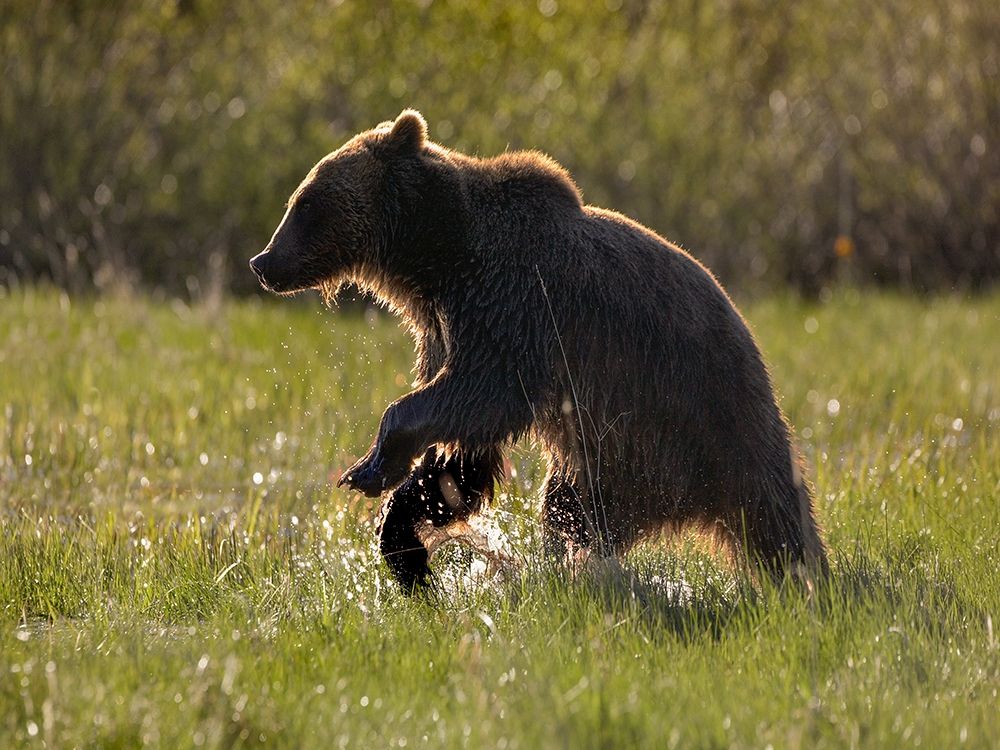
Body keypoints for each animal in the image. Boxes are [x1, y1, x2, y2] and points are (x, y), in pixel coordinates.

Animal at [250, 109, 828, 593]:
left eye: (304, 201)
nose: (263, 261)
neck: (439, 259)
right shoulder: (444, 328)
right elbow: (462, 456)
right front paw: (406, 543)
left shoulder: (510, 308)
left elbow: (477, 396)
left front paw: (370, 467)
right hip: (623, 455)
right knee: (572, 506)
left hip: (679, 425)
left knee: (760, 515)